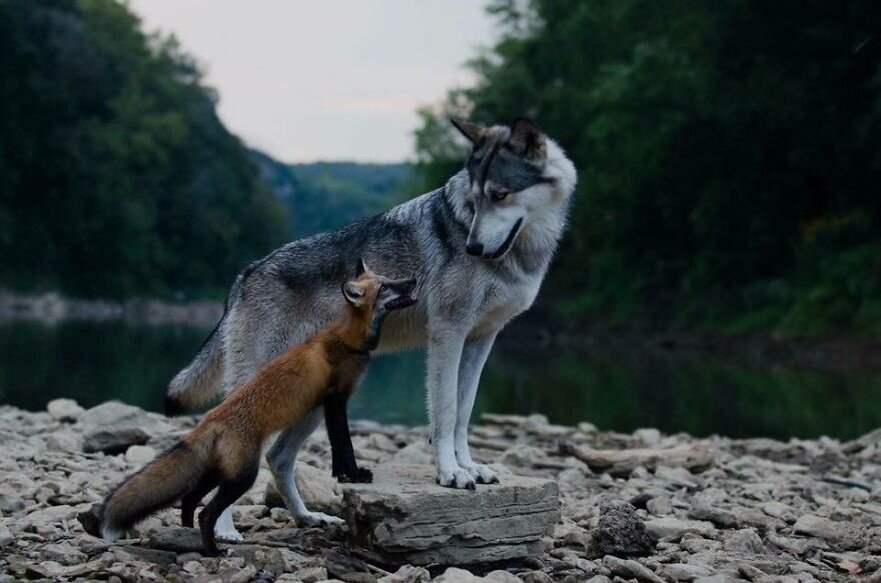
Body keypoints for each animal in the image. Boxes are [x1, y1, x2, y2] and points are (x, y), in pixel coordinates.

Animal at [87, 262, 418, 560]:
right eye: (385, 286)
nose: (413, 280)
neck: (346, 338)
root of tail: (211, 418)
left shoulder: (330, 401)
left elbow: (339, 447)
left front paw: (347, 475)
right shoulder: (336, 399)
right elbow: (343, 444)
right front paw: (354, 474)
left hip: (219, 473)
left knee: (190, 499)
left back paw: (187, 535)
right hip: (243, 476)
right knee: (206, 512)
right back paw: (214, 550)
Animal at [165, 117, 576, 540]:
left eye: (499, 195)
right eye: (476, 201)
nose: (473, 247)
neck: (524, 253)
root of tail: (242, 276)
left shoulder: (481, 340)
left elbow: (464, 412)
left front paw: (470, 467)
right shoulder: (448, 334)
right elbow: (445, 412)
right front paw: (450, 473)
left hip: (316, 400)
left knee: (278, 457)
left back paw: (308, 518)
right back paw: (225, 531)